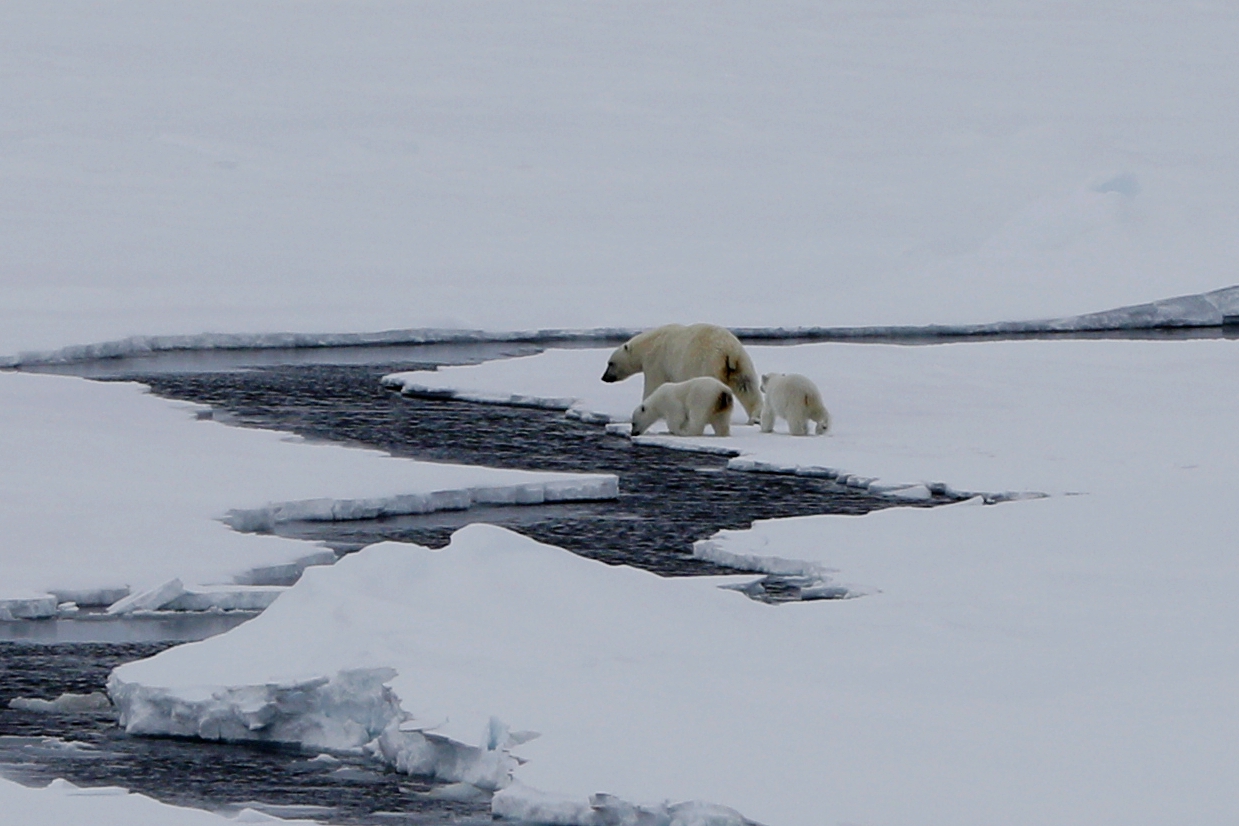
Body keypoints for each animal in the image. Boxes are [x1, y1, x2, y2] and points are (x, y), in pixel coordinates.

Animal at [602, 324, 763, 426]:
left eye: (610, 363)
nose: (604, 377)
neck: (648, 344)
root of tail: (729, 350)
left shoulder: (656, 362)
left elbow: (653, 385)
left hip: (708, 362)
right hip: (741, 363)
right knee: (747, 387)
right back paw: (754, 418)